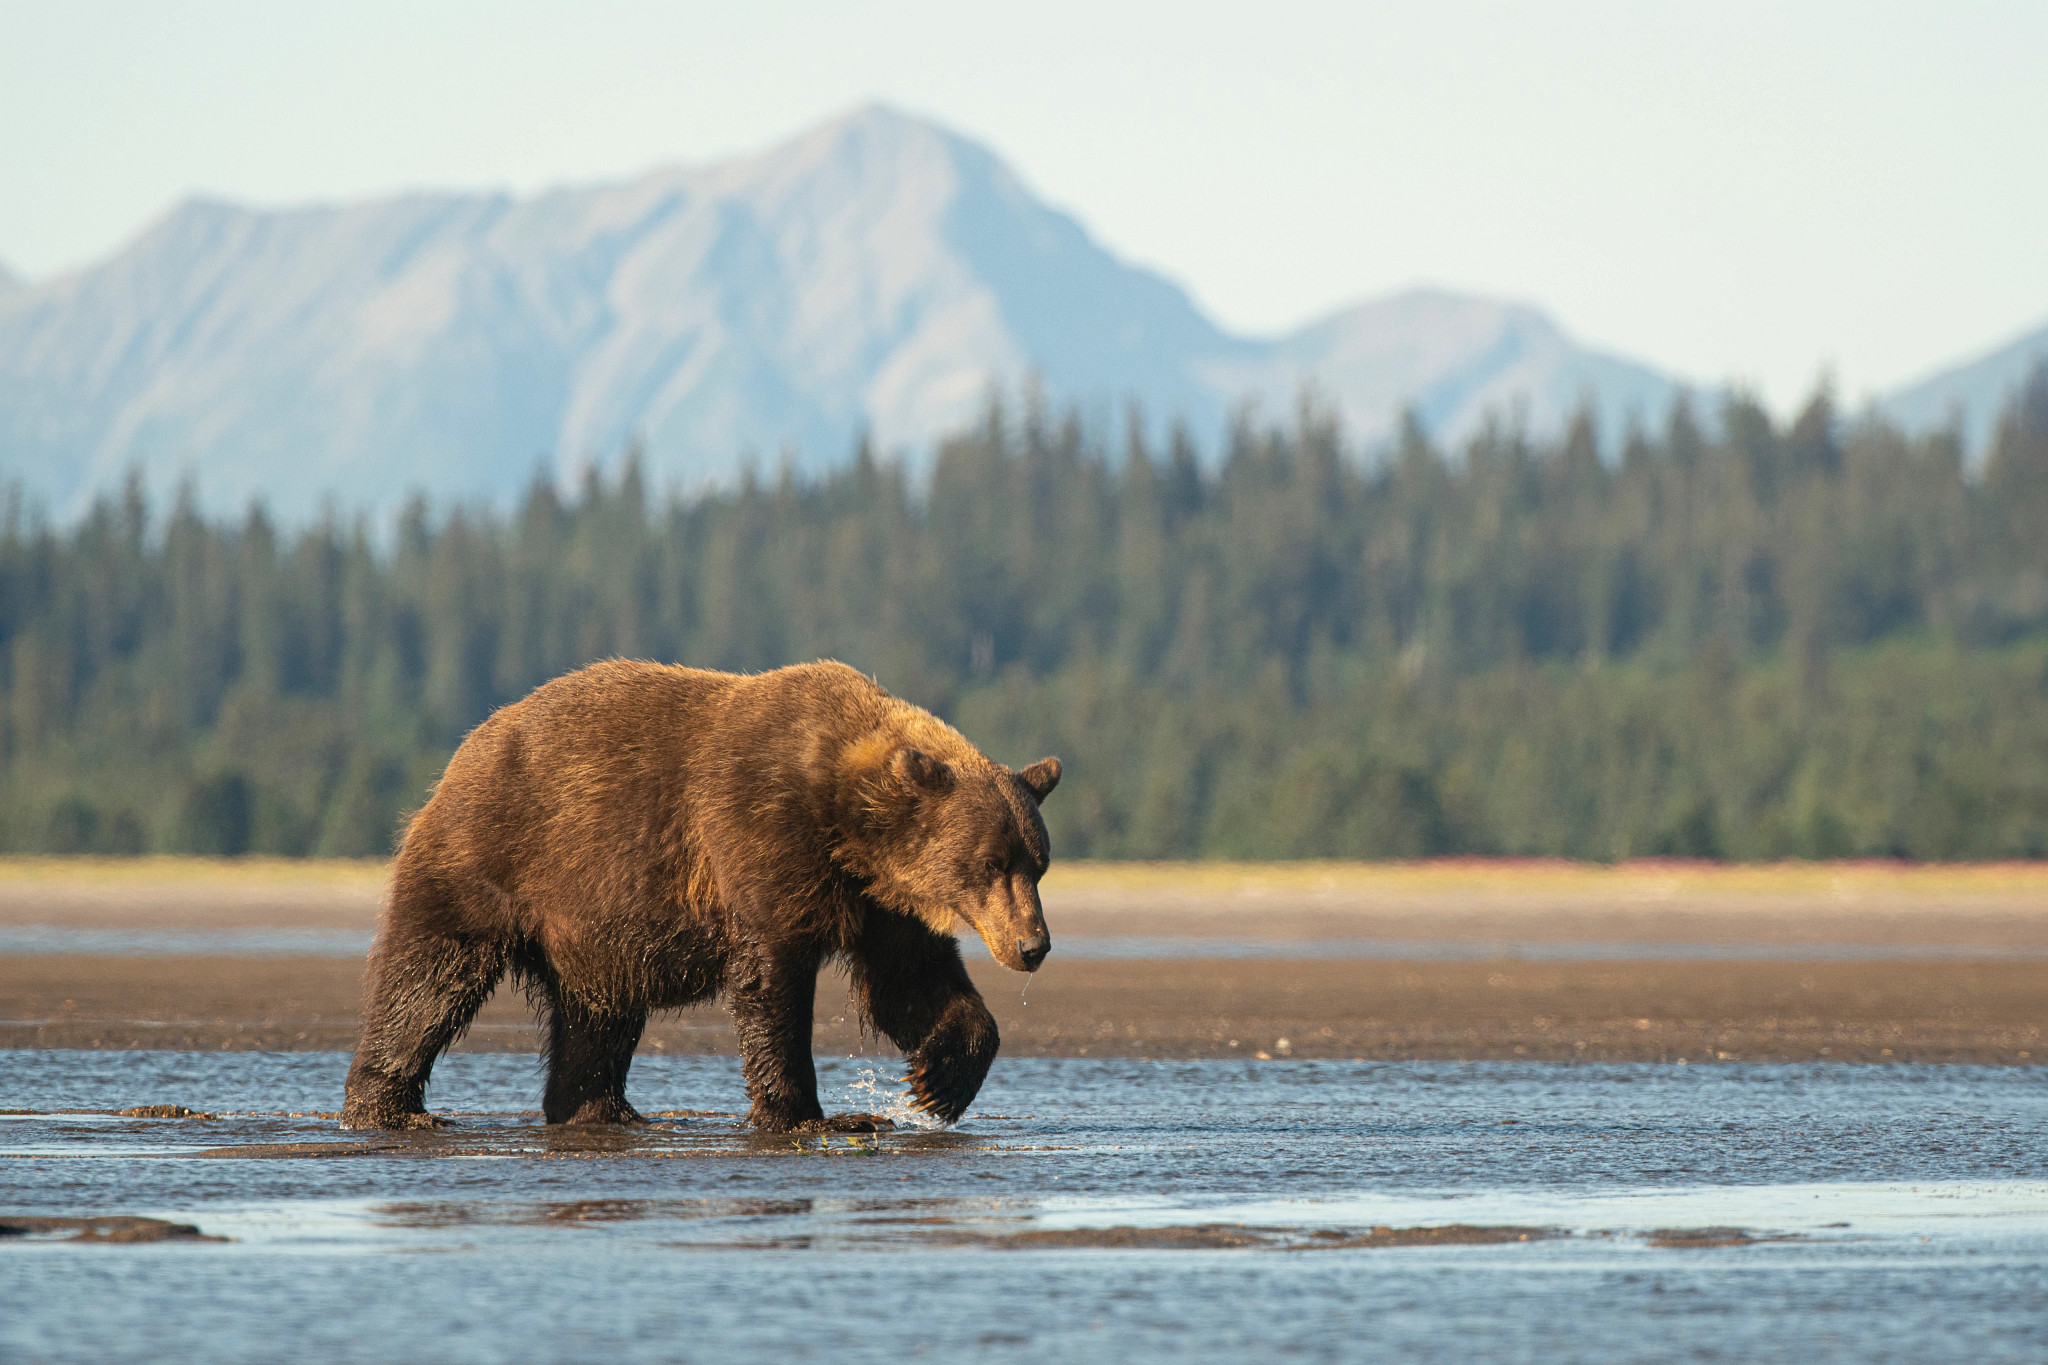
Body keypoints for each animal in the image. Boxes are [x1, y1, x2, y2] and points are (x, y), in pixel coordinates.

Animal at [340, 659, 1060, 1133]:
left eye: (1039, 863)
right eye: (990, 862)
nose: (1034, 945)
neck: (846, 822)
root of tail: (471, 744)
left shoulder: (881, 901)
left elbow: (910, 982)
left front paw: (937, 1080)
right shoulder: (760, 837)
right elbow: (771, 981)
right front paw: (809, 1114)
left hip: (594, 928)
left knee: (598, 1014)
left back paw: (601, 1108)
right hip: (495, 856)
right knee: (428, 977)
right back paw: (390, 1107)